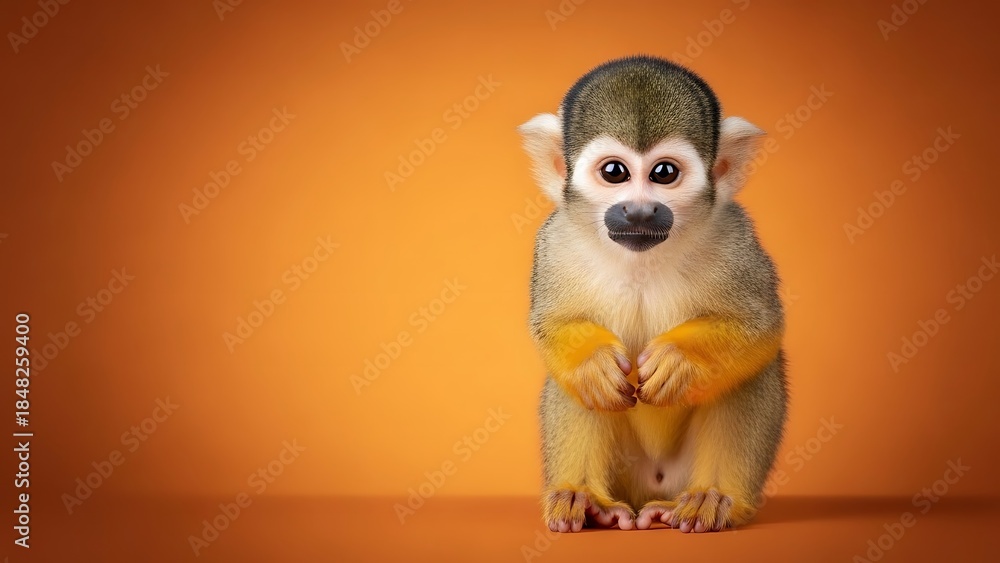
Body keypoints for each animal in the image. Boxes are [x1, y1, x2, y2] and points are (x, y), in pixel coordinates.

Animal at [518, 55, 788, 534]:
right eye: (615, 172)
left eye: (664, 173)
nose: (639, 211)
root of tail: (651, 491)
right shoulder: (555, 240)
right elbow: (552, 325)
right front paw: (592, 363)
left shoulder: (734, 234)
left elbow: (761, 325)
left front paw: (679, 359)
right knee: (572, 386)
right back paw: (587, 498)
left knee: (750, 370)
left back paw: (713, 497)